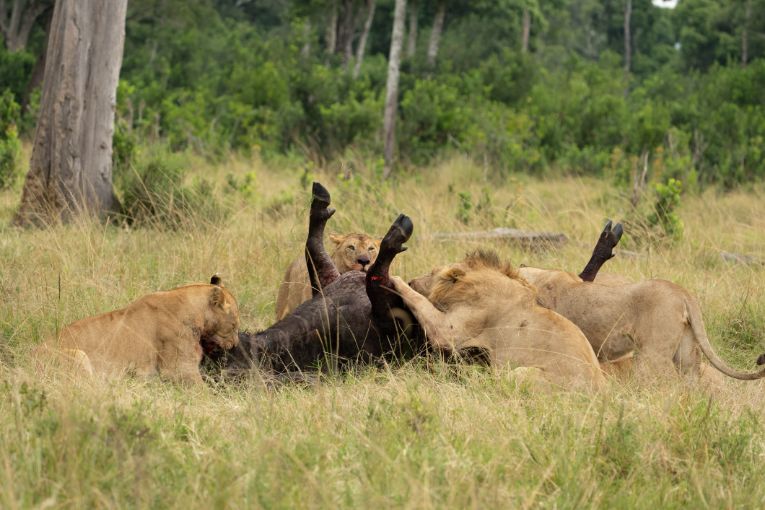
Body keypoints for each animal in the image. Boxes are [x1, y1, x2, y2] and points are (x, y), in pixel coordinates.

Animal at [390, 251, 604, 390]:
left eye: (431, 272)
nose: (412, 281)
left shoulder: (450, 330)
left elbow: (418, 300)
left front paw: (394, 277)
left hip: (521, 373)